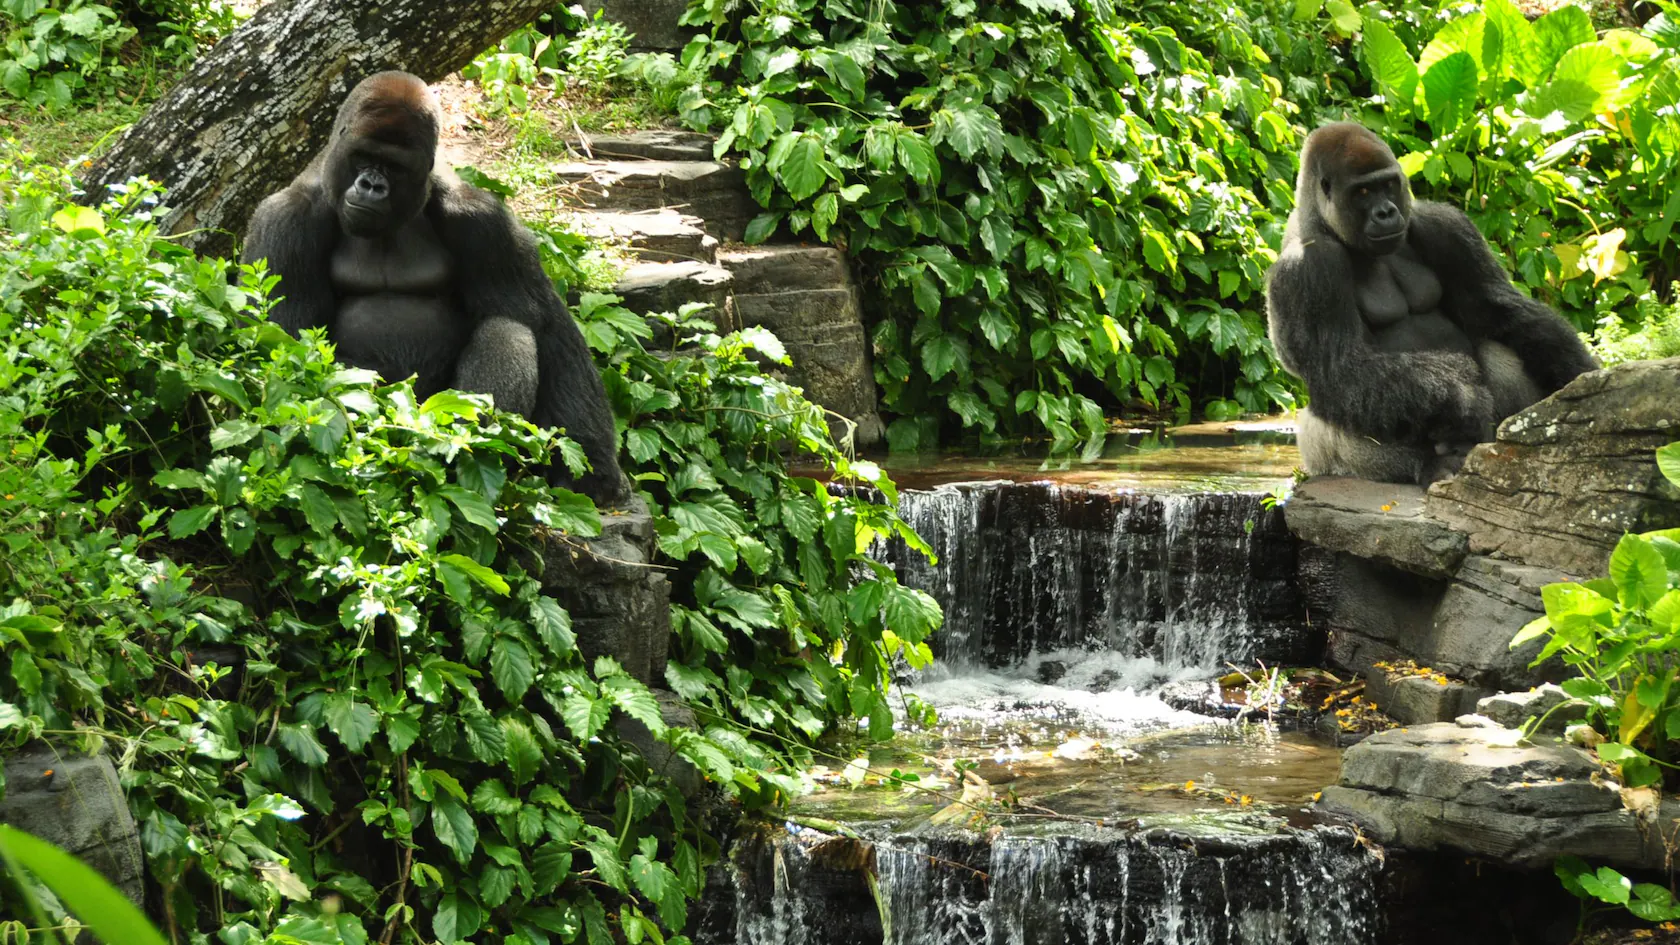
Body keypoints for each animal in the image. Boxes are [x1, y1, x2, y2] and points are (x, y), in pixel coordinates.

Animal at [240, 69, 628, 504]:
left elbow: (539, 320)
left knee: (508, 328)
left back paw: (472, 447)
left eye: (394, 167)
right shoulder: (285, 221)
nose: (372, 185)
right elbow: (286, 349)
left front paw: (594, 466)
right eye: (363, 157)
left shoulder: (482, 219)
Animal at [1263, 120, 1592, 480]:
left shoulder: (1445, 224)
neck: (1323, 221)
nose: (1386, 212)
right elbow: (1341, 368)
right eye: (1362, 192)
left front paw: (1580, 378)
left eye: (1388, 185)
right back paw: (1432, 465)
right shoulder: (1305, 269)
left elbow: (1496, 309)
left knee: (1497, 348)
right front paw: (1463, 401)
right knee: (1331, 419)